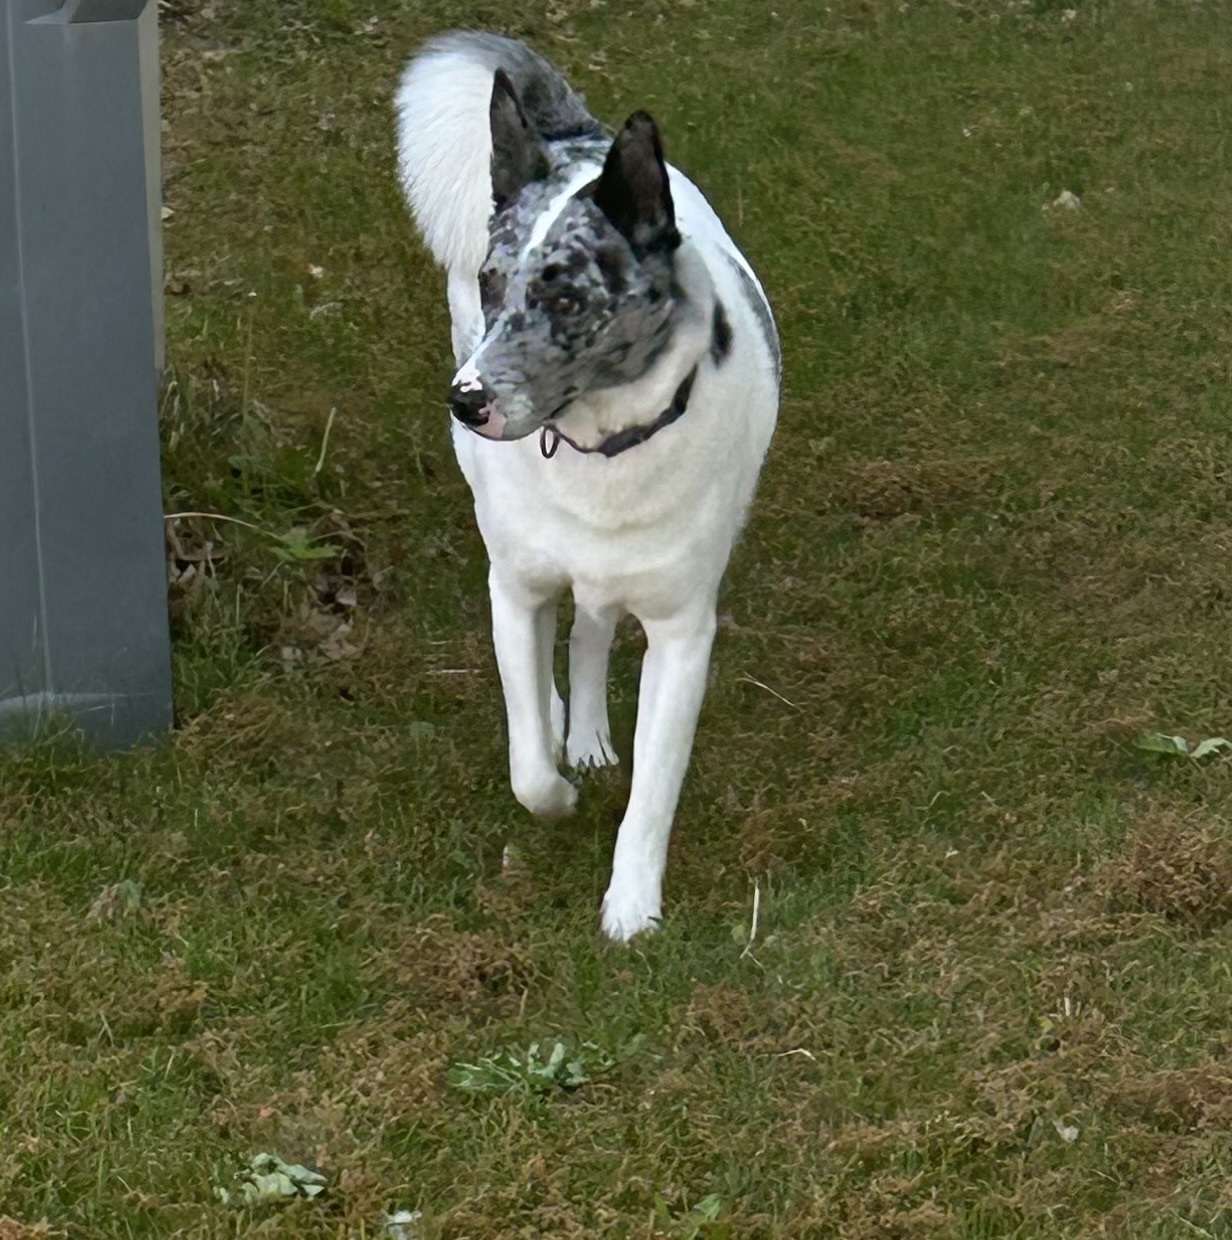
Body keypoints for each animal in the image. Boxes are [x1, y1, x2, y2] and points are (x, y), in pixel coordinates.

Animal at [394, 29, 778, 937]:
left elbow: (653, 792)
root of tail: (580, 137)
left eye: (567, 297)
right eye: (491, 284)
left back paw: (594, 733)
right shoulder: (514, 589)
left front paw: (632, 908)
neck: (602, 451)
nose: (466, 402)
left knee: (595, 631)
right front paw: (560, 787)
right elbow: (528, 763)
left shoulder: (683, 633)